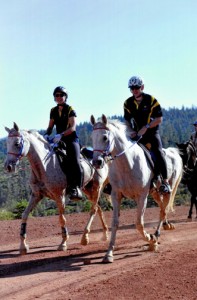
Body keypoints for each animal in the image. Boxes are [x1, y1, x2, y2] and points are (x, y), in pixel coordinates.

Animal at [3, 123, 110, 254]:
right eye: (7, 143)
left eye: (17, 143)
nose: (8, 166)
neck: (44, 165)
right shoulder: (36, 195)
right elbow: (24, 215)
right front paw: (23, 246)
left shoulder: (59, 196)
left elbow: (62, 219)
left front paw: (63, 243)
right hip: (88, 190)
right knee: (98, 208)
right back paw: (104, 234)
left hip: (97, 187)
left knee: (93, 210)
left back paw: (85, 237)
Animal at [91, 115, 183, 262]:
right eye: (92, 137)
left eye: (105, 137)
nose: (96, 162)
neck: (127, 163)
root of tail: (173, 152)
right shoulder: (116, 195)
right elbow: (115, 223)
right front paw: (109, 253)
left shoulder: (142, 196)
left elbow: (139, 223)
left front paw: (151, 239)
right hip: (155, 192)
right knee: (162, 208)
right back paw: (162, 228)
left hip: (168, 189)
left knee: (163, 210)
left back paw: (157, 234)